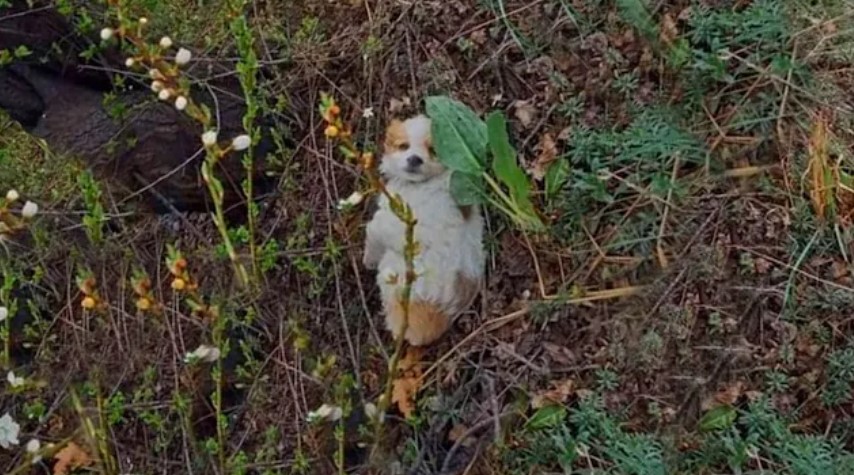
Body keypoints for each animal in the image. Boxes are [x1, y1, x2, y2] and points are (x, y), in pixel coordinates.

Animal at [362, 115, 488, 346]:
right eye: (403, 146)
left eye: (432, 150)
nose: (414, 159)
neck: (420, 184)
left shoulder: (383, 225)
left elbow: (371, 236)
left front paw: (368, 260)